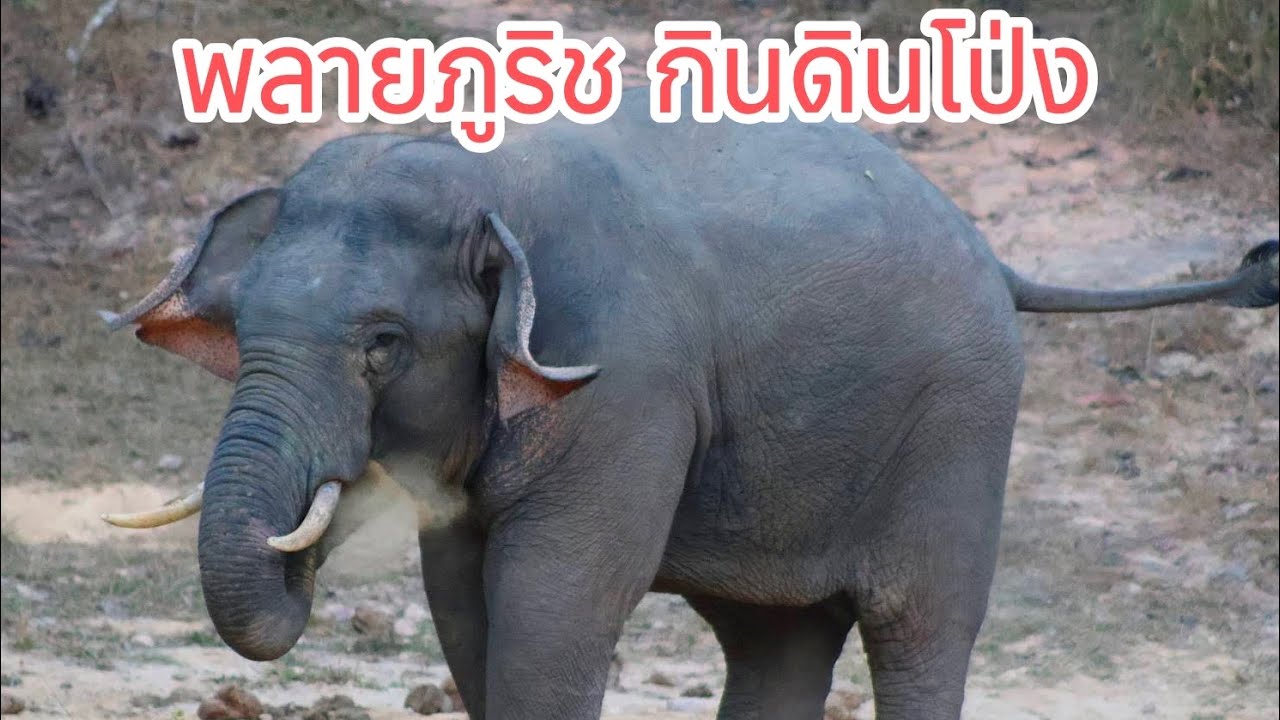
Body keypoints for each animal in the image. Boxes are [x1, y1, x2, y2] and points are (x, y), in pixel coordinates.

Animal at [103, 87, 1279, 720]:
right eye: (241, 323)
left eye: (382, 345)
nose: (303, 537)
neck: (485, 178)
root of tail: (997, 254)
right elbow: (461, 596)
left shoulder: (624, 376)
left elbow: (557, 597)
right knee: (779, 639)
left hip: (962, 420)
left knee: (919, 624)